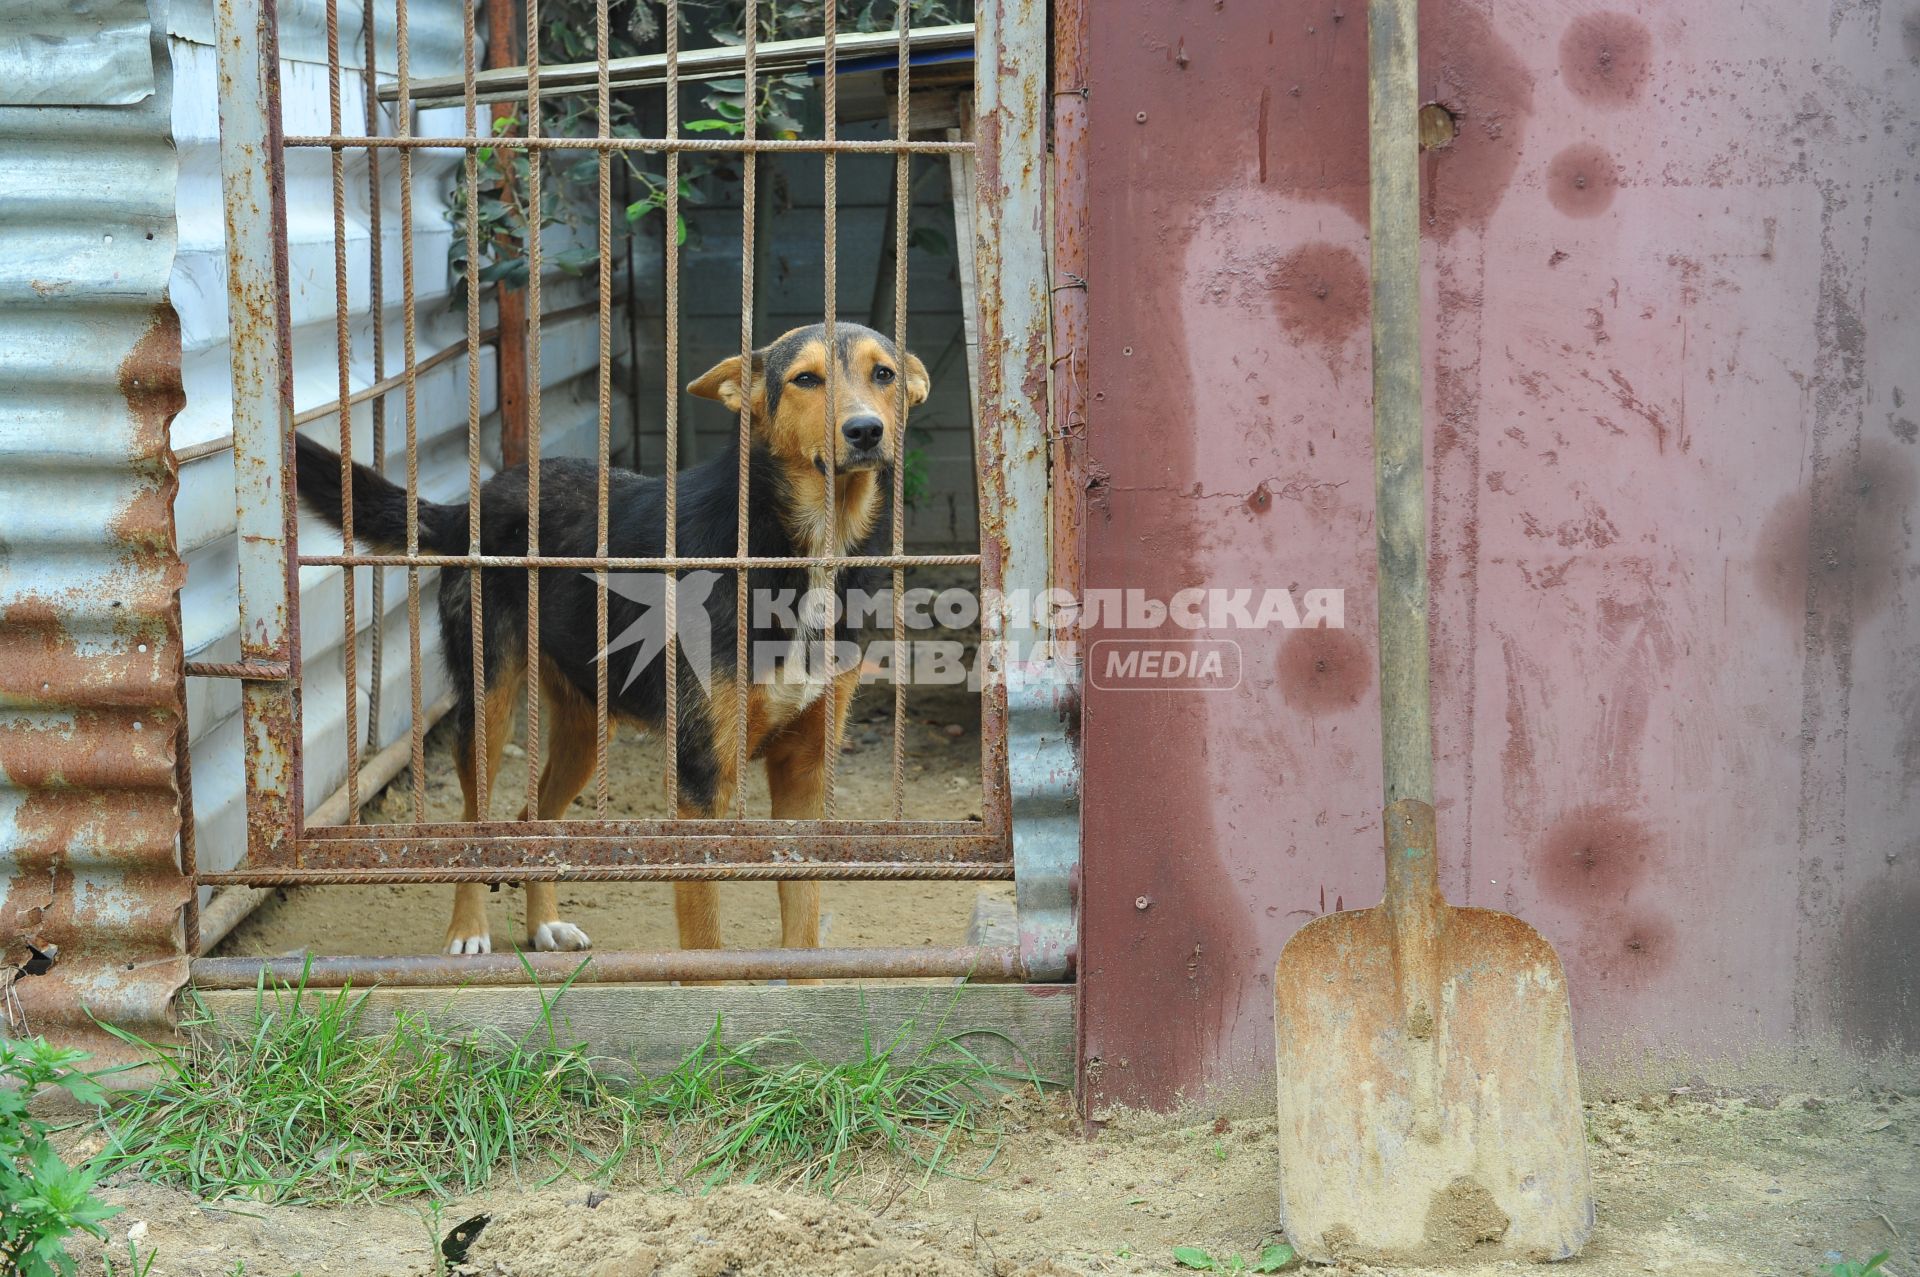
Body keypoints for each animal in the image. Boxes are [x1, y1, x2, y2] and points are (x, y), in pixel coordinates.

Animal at [291, 326, 929, 956]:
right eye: (805, 379)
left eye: (884, 374)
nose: (865, 431)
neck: (801, 544)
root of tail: (473, 501)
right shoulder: (699, 777)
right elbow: (706, 944)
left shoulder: (806, 768)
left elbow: (804, 928)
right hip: (488, 705)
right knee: (476, 821)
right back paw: (469, 930)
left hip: (588, 726)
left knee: (535, 818)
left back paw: (543, 924)